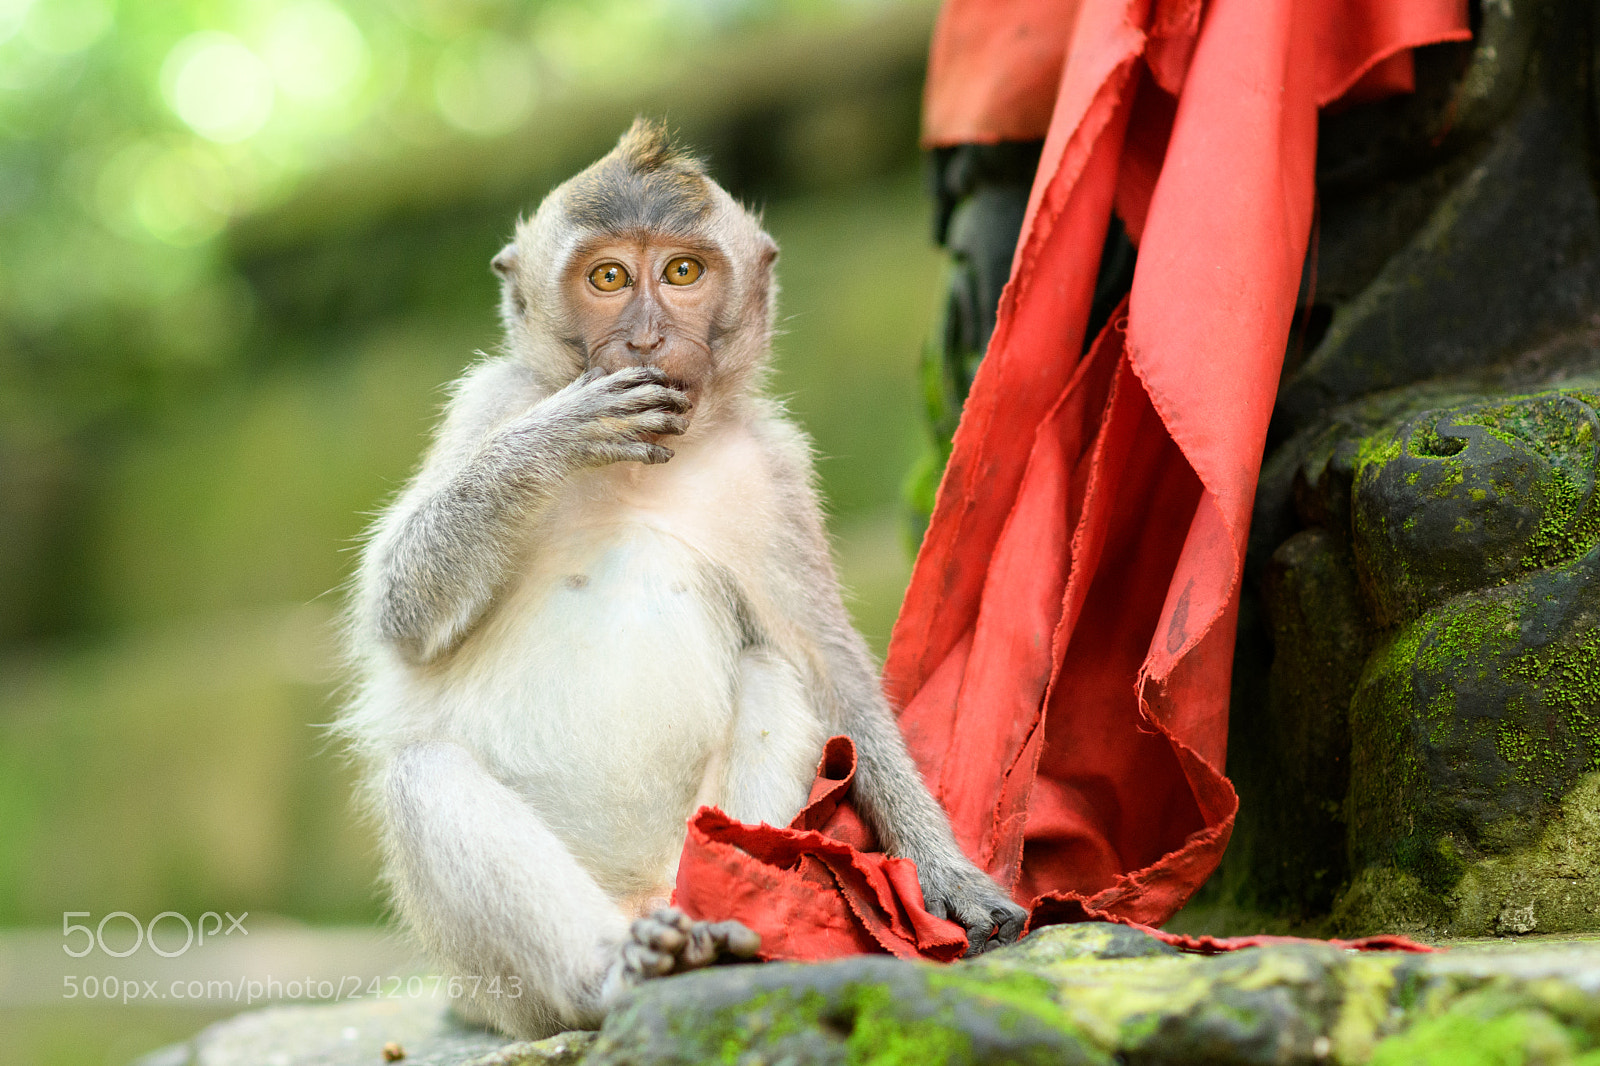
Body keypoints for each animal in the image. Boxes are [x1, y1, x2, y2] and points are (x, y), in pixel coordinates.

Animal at [339, 119, 1027, 1040]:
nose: (645, 340)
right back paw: (616, 974)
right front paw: (559, 436)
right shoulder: (490, 403)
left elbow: (828, 667)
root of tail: (641, 901)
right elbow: (400, 609)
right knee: (424, 777)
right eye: (608, 277)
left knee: (776, 674)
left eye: (681, 273)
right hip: (499, 991)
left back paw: (731, 924)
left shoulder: (772, 474)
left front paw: (943, 871)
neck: (644, 466)